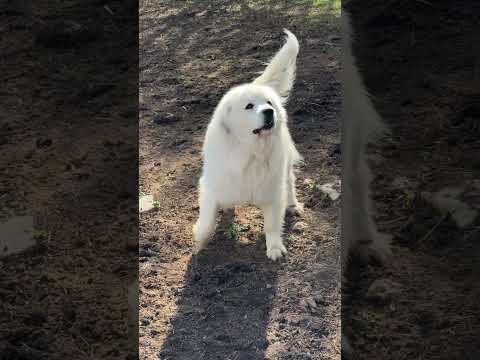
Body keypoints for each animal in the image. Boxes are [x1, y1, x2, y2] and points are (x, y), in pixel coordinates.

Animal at [192, 29, 302, 260]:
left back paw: (293, 204)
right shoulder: (211, 187)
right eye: (249, 106)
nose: (269, 112)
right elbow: (207, 220)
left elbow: (272, 225)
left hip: (285, 167)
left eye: (268, 103)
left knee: (290, 180)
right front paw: (199, 240)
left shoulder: (272, 192)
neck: (251, 151)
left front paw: (274, 248)